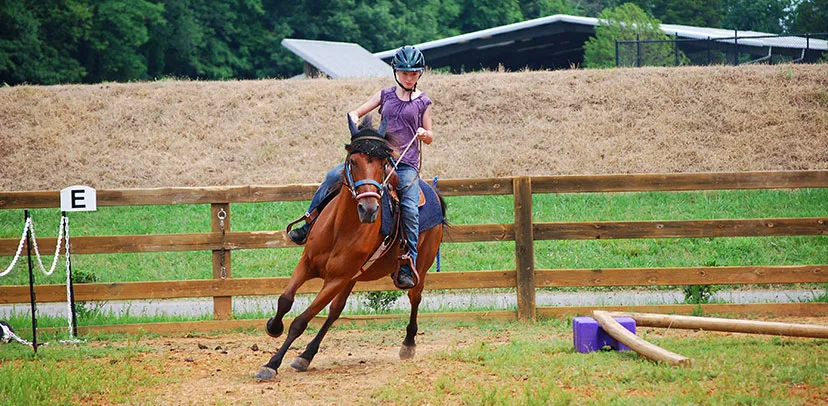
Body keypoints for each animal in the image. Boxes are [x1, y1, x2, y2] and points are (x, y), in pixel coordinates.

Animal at [254, 117, 444, 380]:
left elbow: (301, 321)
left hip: (419, 269)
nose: (368, 209)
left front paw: (272, 363)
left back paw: (408, 344)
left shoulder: (336, 279)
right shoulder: (308, 264)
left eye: (383, 164)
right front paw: (273, 325)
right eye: (353, 161)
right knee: (335, 311)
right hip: (352, 278)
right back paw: (306, 356)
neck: (340, 229)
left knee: (415, 298)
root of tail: (433, 193)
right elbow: (285, 300)